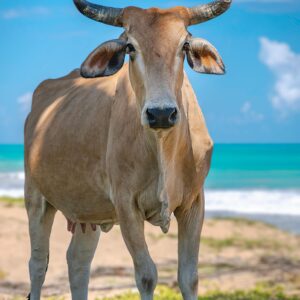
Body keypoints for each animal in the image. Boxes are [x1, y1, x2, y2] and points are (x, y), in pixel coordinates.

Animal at [24, 0, 231, 298]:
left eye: (184, 45)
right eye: (130, 47)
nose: (161, 113)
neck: (163, 148)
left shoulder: (194, 204)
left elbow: (189, 277)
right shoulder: (126, 206)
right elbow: (146, 275)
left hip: (89, 212)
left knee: (78, 262)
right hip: (36, 198)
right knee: (38, 264)